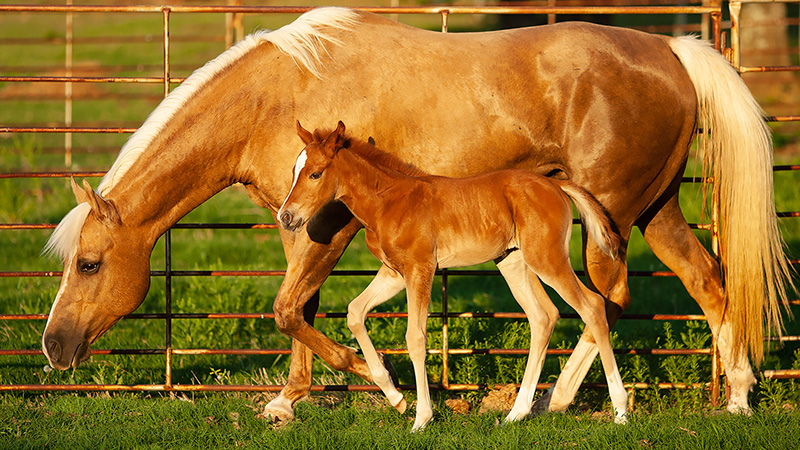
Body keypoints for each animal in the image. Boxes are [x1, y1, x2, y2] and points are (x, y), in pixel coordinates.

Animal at [279, 121, 630, 429]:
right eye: (293, 171)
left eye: (315, 174)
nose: (286, 216)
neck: (389, 201)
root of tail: (555, 184)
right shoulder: (394, 273)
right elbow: (354, 313)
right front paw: (395, 397)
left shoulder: (420, 269)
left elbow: (415, 337)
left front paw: (421, 418)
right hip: (514, 262)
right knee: (543, 316)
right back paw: (516, 414)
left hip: (547, 258)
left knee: (593, 306)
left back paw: (621, 410)